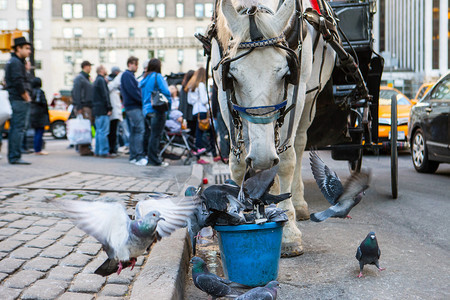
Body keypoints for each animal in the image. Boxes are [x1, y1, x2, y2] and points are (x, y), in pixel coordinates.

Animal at [213, 0, 336, 256]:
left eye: (285, 74)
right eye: (233, 77)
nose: (261, 158)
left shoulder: (298, 87)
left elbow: (287, 160)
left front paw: (289, 233)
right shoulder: (221, 89)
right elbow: (238, 163)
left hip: (311, 96)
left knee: (298, 144)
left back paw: (298, 204)